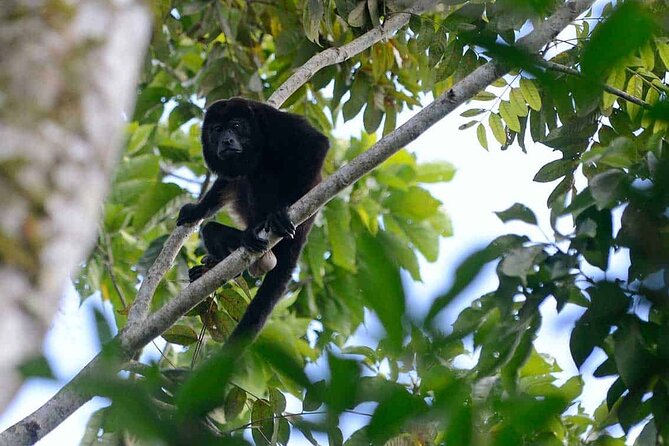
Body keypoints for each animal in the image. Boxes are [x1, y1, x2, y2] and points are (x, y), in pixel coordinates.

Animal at [175, 96, 326, 342]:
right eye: (217, 130)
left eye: (236, 125)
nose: (226, 140)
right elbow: (228, 181)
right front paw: (196, 210)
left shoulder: (274, 123)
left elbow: (316, 143)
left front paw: (283, 210)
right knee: (212, 229)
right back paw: (222, 258)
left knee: (264, 169)